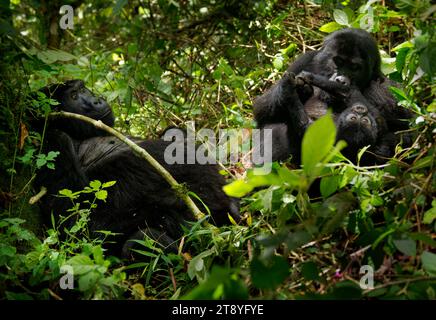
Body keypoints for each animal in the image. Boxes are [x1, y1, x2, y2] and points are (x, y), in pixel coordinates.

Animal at [252, 28, 412, 164]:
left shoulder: (388, 90)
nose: (341, 79)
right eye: (338, 61)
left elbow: (405, 135)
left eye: (354, 68)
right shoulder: (304, 60)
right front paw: (297, 90)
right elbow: (262, 111)